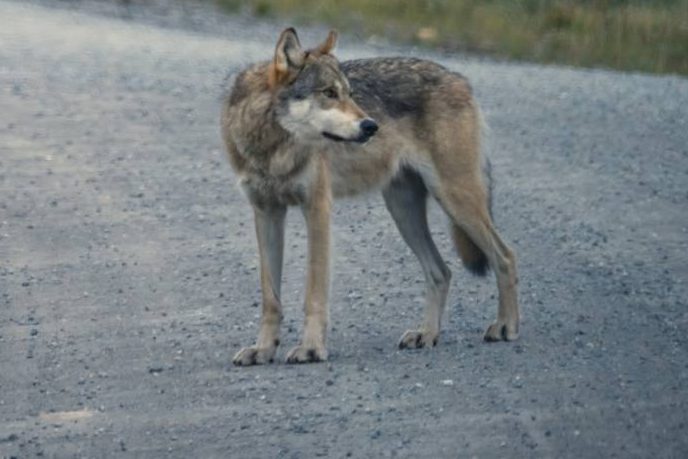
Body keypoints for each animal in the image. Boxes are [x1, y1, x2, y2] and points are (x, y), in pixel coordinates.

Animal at [223, 28, 520, 366]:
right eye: (328, 93)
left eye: (349, 93)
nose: (371, 126)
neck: (272, 148)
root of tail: (460, 78)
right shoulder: (266, 213)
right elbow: (270, 298)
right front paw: (262, 350)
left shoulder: (317, 209)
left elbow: (314, 293)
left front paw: (311, 348)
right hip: (404, 211)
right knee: (442, 271)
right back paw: (427, 334)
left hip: (455, 199)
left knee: (506, 256)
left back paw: (505, 327)